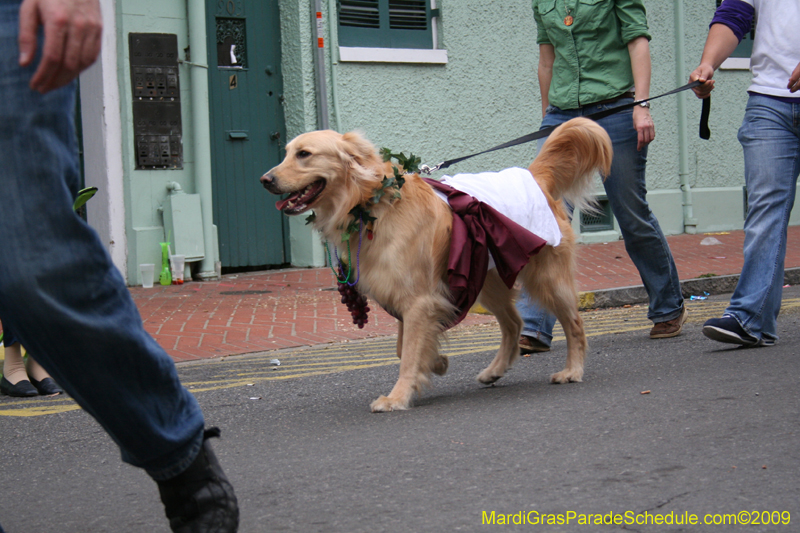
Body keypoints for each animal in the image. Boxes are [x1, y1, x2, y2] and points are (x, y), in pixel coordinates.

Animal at [262, 117, 612, 412]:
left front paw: (398, 397)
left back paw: (572, 370)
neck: (372, 204)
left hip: (547, 278)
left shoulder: (419, 299)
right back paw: (494, 371)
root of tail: (534, 176)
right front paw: (436, 363)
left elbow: (407, 354)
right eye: (288, 153)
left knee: (574, 324)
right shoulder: (406, 298)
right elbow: (404, 349)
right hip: (488, 279)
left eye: (304, 154)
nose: (265, 180)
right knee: (513, 323)